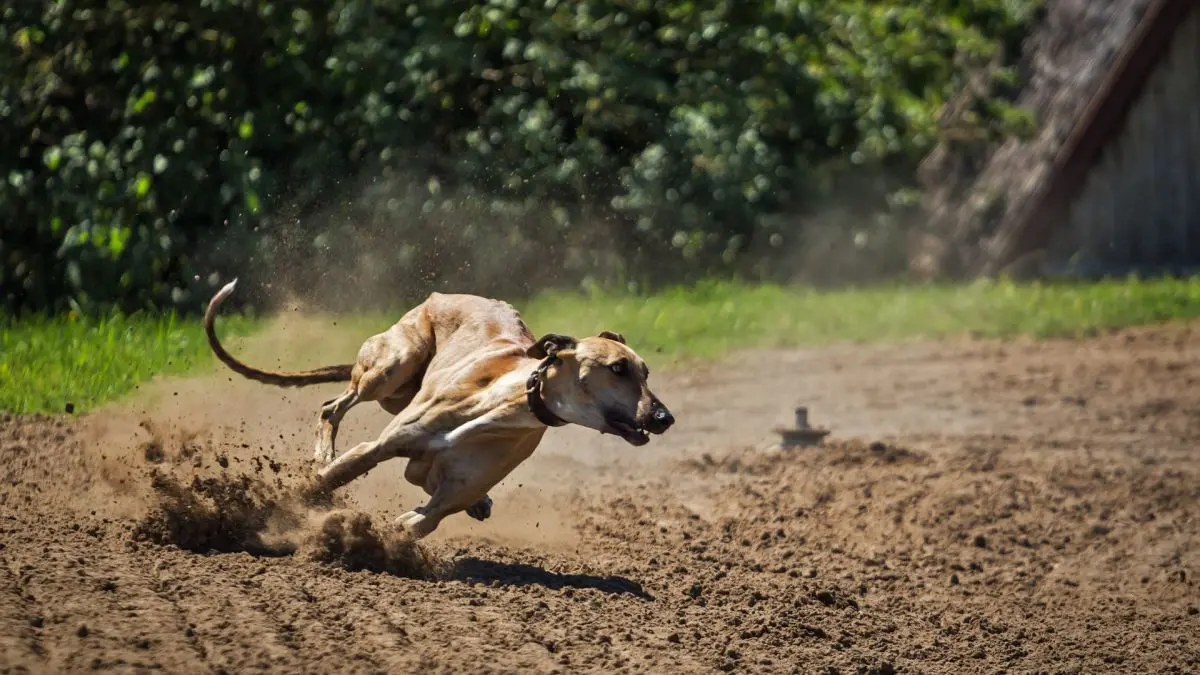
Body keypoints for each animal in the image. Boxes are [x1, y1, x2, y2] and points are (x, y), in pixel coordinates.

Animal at [206, 281, 676, 538]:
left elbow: (420, 520)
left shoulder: (446, 496)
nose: (664, 419)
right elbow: (329, 478)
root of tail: (441, 295)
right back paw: (323, 453)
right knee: (332, 407)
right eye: (618, 368)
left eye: (646, 371)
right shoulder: (377, 448)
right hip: (392, 366)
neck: (502, 404)